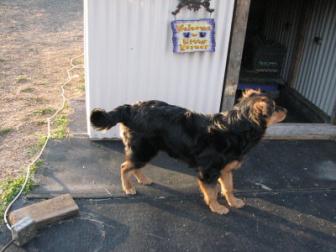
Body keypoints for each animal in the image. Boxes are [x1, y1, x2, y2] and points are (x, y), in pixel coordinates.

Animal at [89, 89, 286, 214]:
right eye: (275, 107)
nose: (286, 109)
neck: (238, 126)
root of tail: (130, 108)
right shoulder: (208, 171)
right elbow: (212, 192)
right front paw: (217, 207)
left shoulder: (225, 169)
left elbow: (229, 187)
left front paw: (234, 202)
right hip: (144, 150)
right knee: (124, 167)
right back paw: (128, 188)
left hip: (145, 151)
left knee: (133, 166)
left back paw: (142, 179)